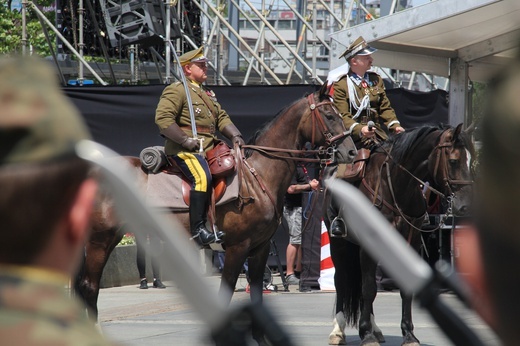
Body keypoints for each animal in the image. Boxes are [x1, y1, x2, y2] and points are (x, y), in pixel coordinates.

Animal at [76, 84, 358, 344]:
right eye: (330, 115)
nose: (351, 152)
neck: (258, 175)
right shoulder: (237, 248)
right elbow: (227, 291)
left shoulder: (260, 248)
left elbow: (256, 292)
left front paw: (260, 338)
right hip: (101, 240)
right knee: (89, 286)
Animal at [324, 124, 476, 346]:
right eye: (454, 160)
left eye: (471, 161)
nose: (465, 206)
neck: (395, 185)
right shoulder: (368, 243)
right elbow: (368, 288)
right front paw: (366, 335)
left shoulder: (411, 242)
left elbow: (402, 288)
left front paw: (408, 334)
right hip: (339, 244)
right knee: (341, 280)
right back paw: (338, 331)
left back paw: (376, 329)